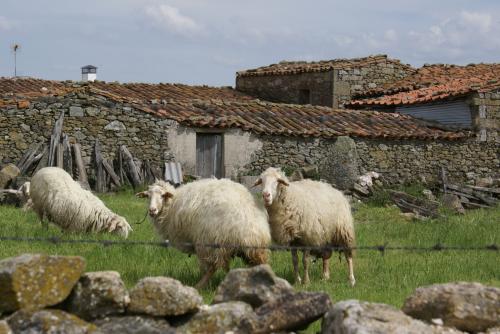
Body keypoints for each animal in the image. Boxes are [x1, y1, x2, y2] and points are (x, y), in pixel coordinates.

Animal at [135, 179, 272, 288]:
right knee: (260, 264)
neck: (172, 205)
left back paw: (200, 285)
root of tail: (250, 229)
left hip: (210, 241)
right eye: (148, 196)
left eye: (163, 195)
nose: (152, 210)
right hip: (253, 250)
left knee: (212, 267)